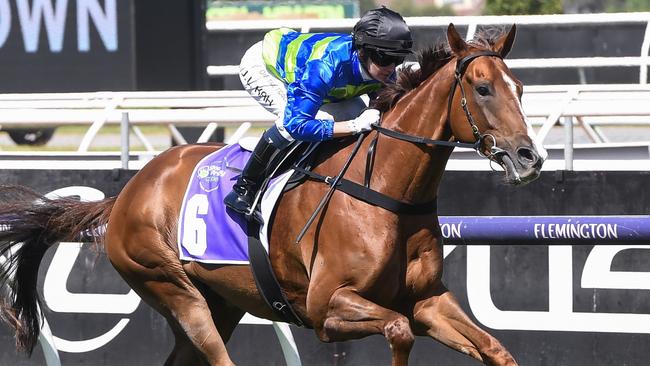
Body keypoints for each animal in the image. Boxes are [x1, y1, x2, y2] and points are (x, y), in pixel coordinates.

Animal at [0, 24, 540, 364]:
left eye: (519, 87)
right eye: (482, 88)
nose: (530, 157)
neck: (385, 191)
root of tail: (129, 190)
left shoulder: (427, 300)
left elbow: (496, 349)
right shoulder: (328, 307)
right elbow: (397, 330)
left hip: (219, 300)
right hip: (171, 287)